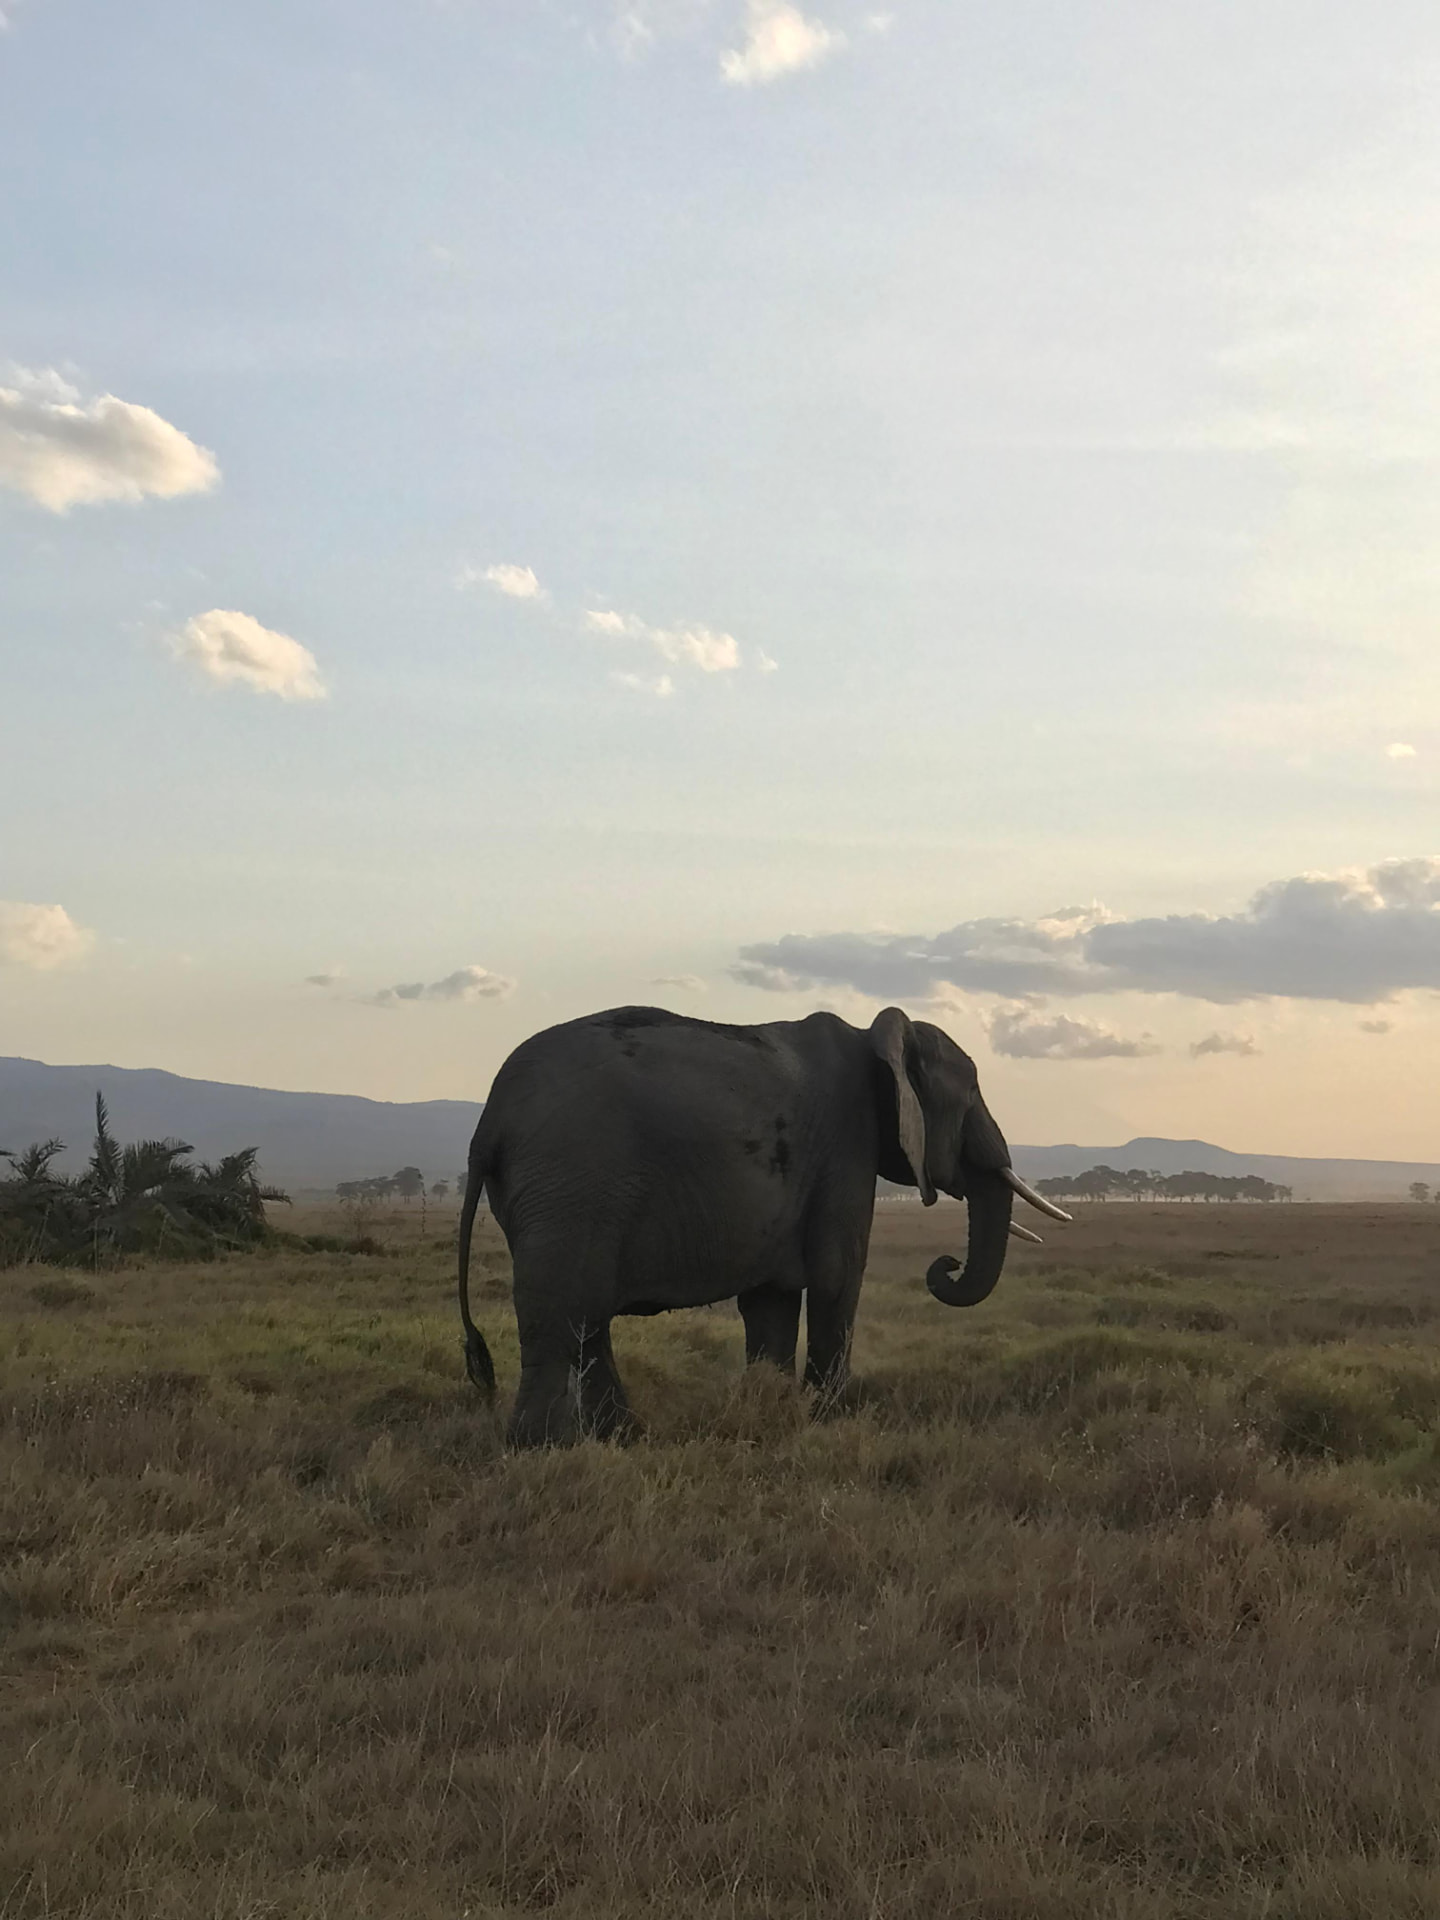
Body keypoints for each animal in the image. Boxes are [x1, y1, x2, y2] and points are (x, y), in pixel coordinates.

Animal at [457, 1004, 1068, 1447]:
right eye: (971, 1096)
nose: (946, 1264)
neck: (876, 1037)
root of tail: (488, 1122)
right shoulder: (847, 1144)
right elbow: (837, 1277)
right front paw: (829, 1420)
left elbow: (771, 1300)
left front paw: (772, 1411)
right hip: (574, 1179)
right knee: (563, 1313)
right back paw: (538, 1449)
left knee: (585, 1319)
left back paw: (622, 1439)